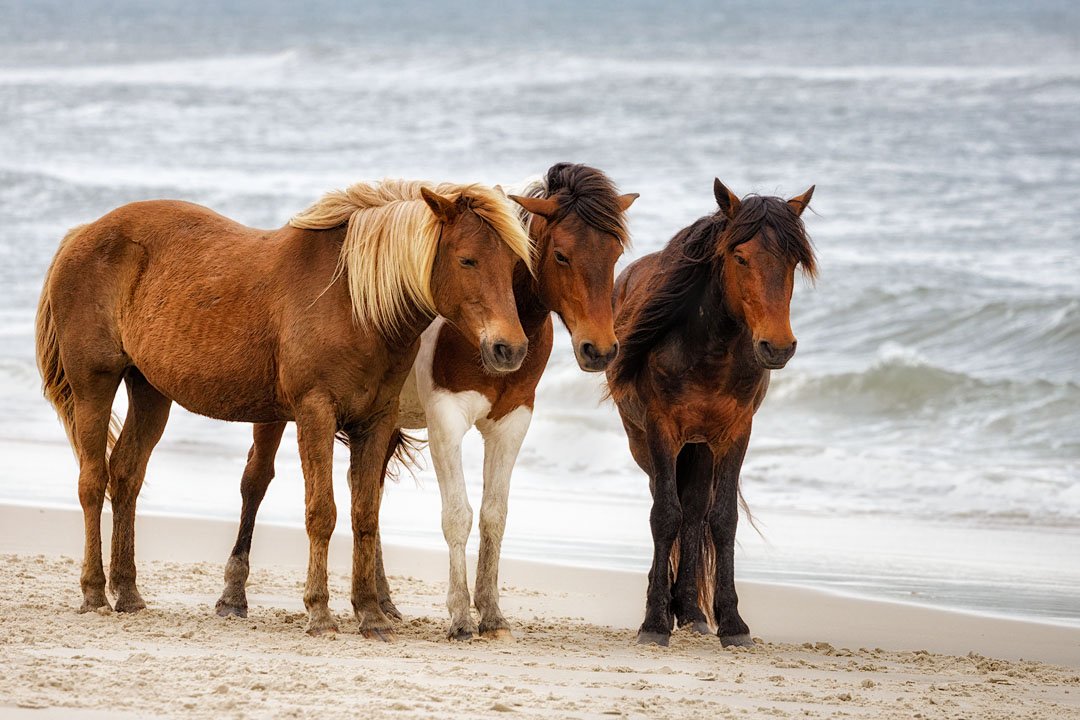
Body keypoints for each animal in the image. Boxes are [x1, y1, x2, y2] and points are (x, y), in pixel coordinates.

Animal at [35, 180, 533, 643]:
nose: (510, 348)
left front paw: (371, 614)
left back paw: (128, 592)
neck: (352, 301)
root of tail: (83, 233)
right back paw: (94, 592)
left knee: (125, 476)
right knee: (92, 481)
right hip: (94, 385)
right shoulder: (315, 412)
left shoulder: (376, 422)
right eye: (467, 260)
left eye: (514, 266)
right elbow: (322, 513)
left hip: (150, 391)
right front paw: (320, 612)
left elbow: (365, 517)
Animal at [211, 165, 635, 643]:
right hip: (279, 415)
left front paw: (492, 615)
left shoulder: (511, 422)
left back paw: (383, 603)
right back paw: (234, 597)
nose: (599, 350)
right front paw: (461, 617)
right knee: (256, 482)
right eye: (561, 255)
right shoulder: (446, 421)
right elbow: (457, 515)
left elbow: (493, 515)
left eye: (616, 254)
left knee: (368, 495)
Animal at [604, 179, 812, 647]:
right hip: (643, 440)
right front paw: (654, 622)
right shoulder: (661, 429)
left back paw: (692, 611)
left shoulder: (736, 432)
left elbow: (721, 519)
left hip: (699, 445)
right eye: (740, 256)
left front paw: (732, 624)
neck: (709, 351)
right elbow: (665, 515)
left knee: (695, 509)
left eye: (793, 260)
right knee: (666, 502)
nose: (778, 347)